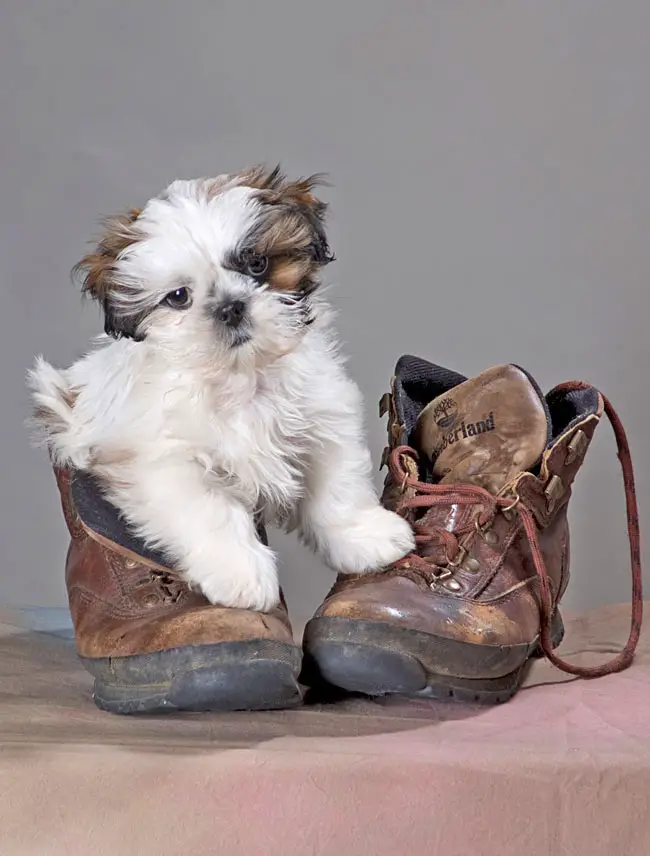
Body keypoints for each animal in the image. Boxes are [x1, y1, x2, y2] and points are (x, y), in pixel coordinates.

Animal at [29, 166, 410, 608]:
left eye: (257, 264)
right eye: (179, 297)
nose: (231, 307)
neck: (240, 377)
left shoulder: (324, 417)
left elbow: (339, 485)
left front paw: (365, 537)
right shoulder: (163, 460)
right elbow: (210, 510)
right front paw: (241, 575)